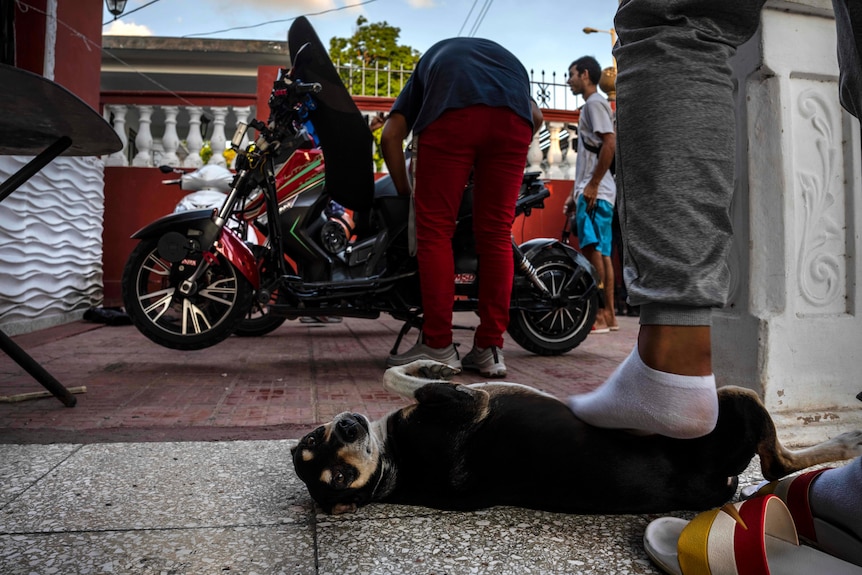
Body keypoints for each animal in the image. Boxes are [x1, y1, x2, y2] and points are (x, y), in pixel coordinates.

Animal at [292, 362, 862, 516]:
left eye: (316, 436)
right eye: (339, 477)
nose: (347, 425)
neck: (394, 468)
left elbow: (402, 373)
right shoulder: (470, 402)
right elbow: (398, 376)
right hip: (735, 399)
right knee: (777, 465)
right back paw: (850, 438)